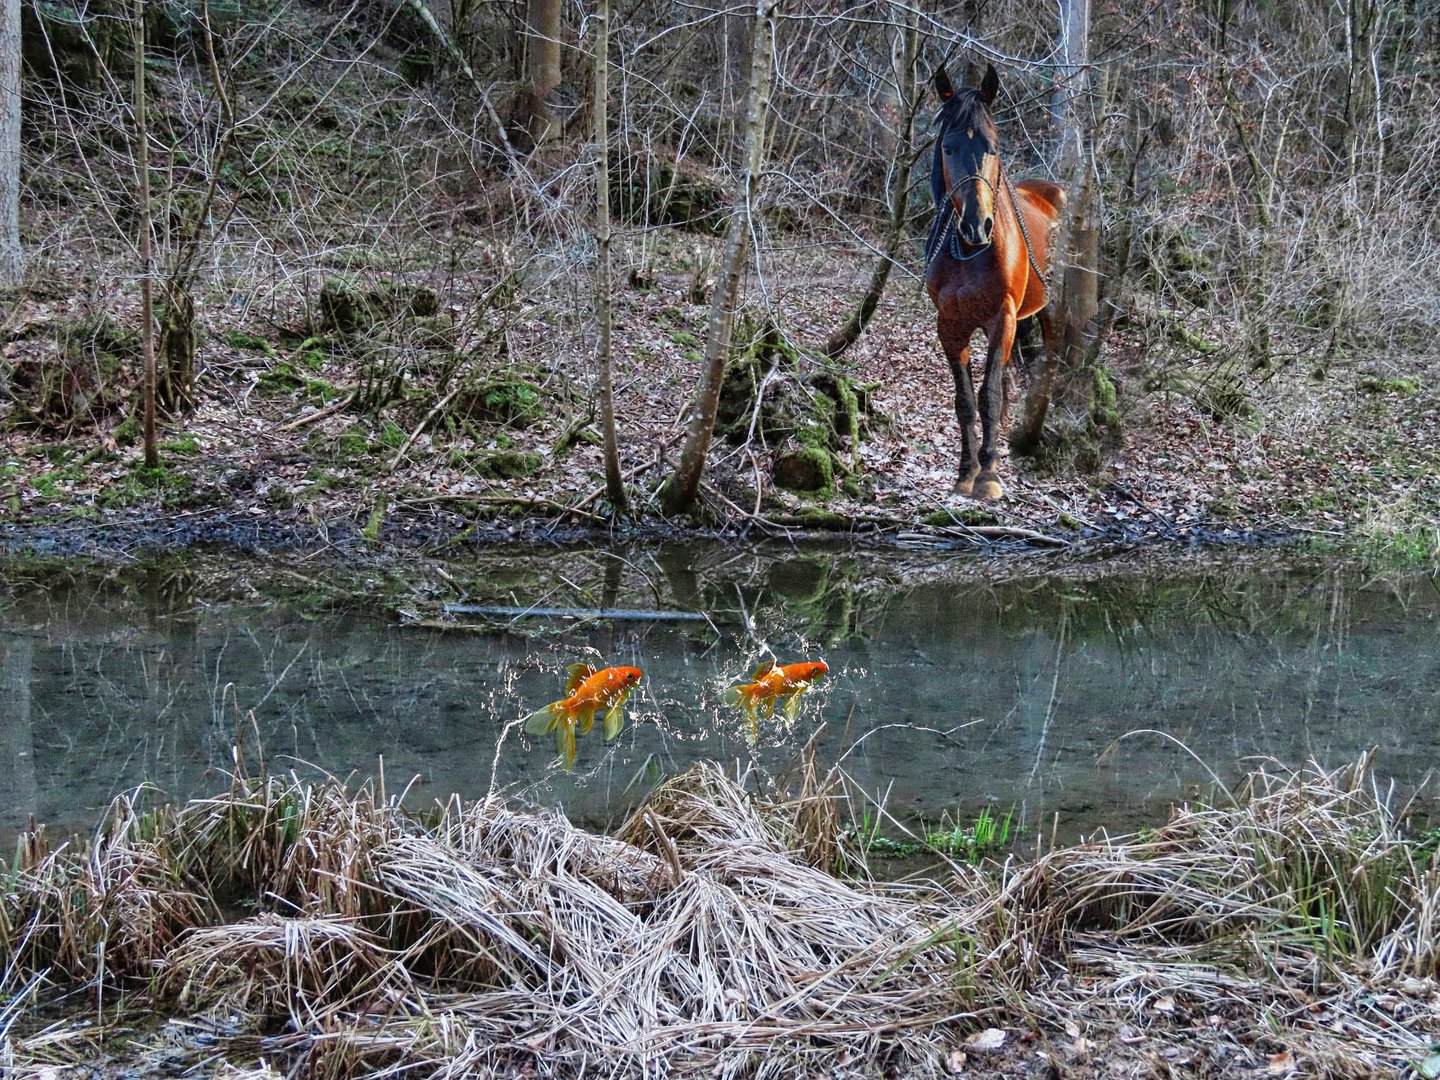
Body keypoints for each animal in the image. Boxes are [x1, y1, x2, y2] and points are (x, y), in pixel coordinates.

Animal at [927, 69, 1065, 501]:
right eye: (948, 147)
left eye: (994, 147)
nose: (976, 225)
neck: (969, 254)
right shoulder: (949, 325)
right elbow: (965, 401)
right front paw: (966, 471)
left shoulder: (1000, 319)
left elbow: (989, 395)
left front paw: (988, 475)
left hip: (1052, 310)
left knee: (1048, 366)